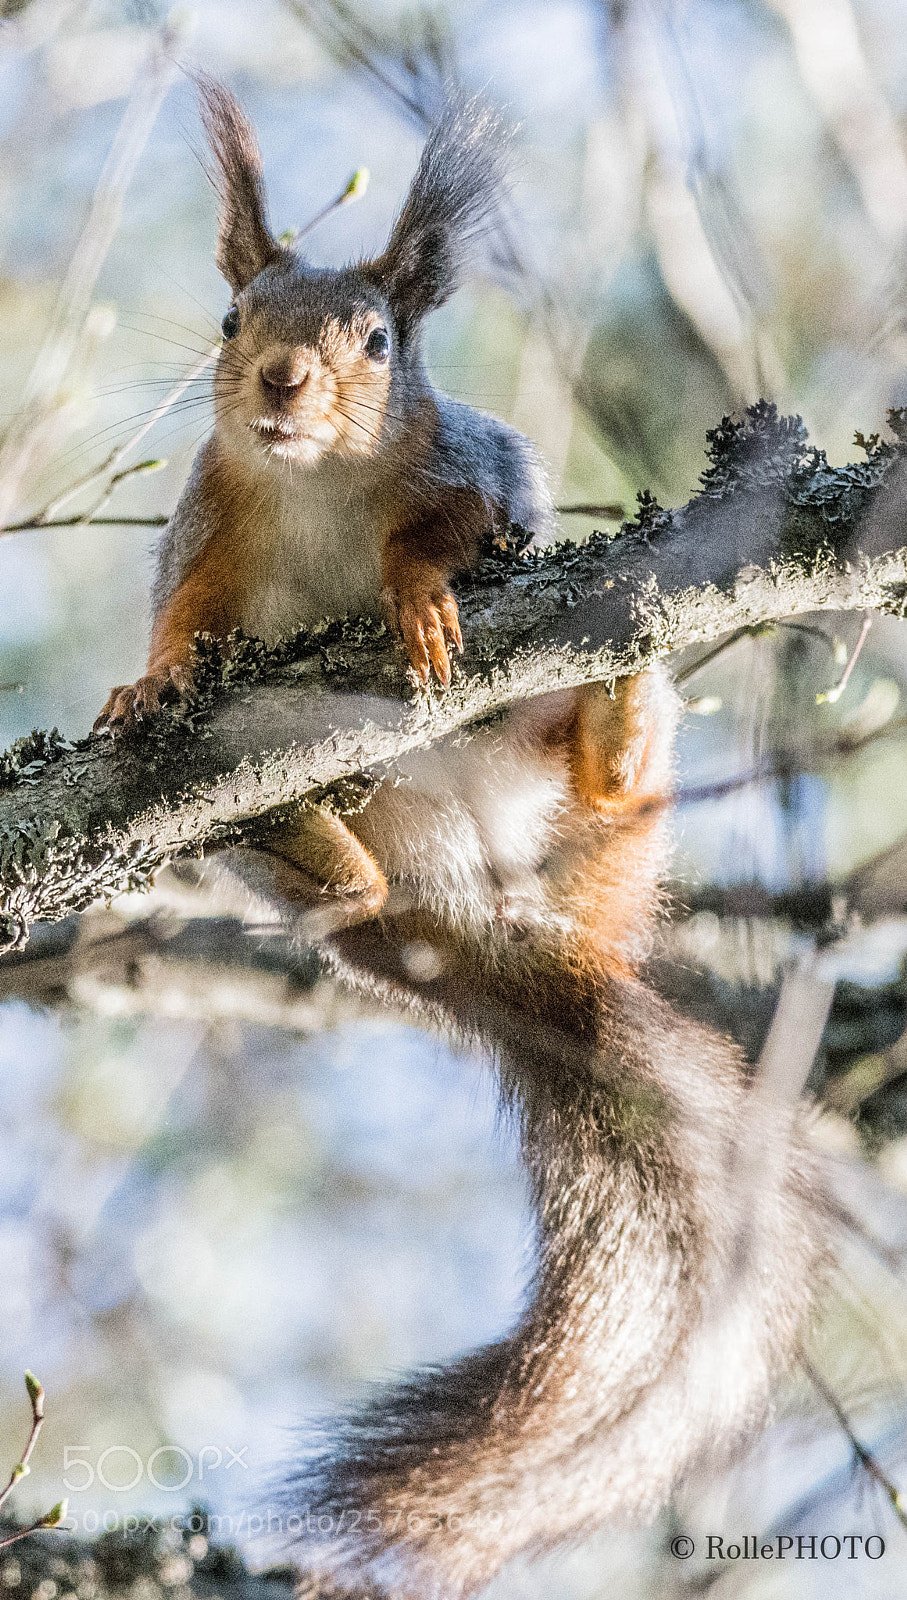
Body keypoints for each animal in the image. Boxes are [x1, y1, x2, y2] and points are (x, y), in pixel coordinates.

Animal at [96, 80, 826, 1600]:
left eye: (381, 340)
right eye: (229, 320)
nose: (280, 386)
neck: (312, 488)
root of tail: (484, 912)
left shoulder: (469, 466)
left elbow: (449, 531)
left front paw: (419, 593)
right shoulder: (204, 537)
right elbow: (180, 627)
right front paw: (143, 686)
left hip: (591, 803)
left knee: (605, 778)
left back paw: (616, 715)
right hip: (297, 832)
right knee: (336, 863)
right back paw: (325, 852)